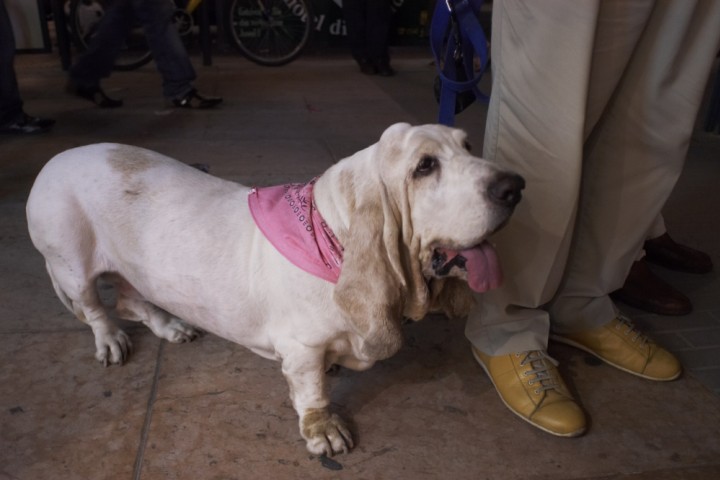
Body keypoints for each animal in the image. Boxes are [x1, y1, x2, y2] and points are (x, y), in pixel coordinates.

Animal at [26, 122, 524, 456]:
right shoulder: (302, 347)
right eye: (424, 166)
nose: (515, 186)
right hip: (71, 265)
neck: (333, 234)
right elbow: (312, 392)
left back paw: (171, 327)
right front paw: (324, 431)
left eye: (468, 145)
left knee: (131, 300)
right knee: (97, 310)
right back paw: (111, 341)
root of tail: (50, 164)